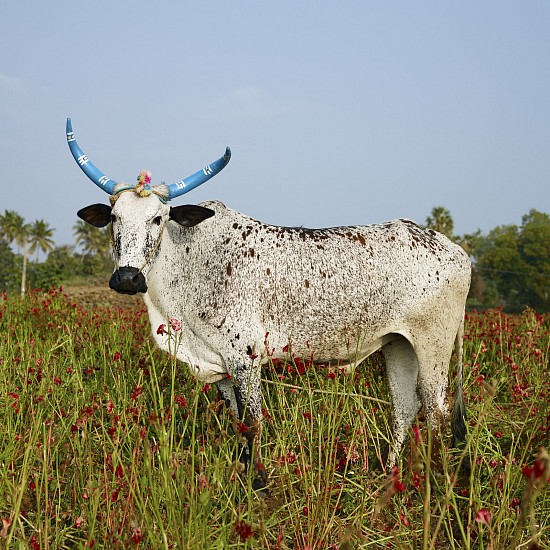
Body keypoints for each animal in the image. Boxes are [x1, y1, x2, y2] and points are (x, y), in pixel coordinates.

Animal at [69, 117, 472, 488]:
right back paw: (387, 481)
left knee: (436, 413)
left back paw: (434, 488)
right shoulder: (220, 365)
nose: (127, 278)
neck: (189, 260)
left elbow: (252, 424)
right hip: (398, 344)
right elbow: (237, 424)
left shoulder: (246, 359)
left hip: (433, 344)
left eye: (158, 218)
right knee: (405, 407)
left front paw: (259, 488)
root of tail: (455, 249)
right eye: (114, 218)